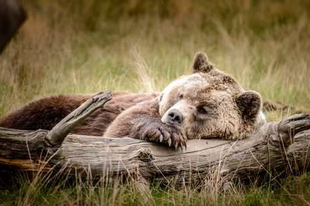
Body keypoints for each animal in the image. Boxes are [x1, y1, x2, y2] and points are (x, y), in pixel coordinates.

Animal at [0, 52, 266, 150]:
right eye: (181, 94)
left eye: (204, 109)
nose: (174, 116)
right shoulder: (139, 106)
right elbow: (121, 125)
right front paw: (165, 133)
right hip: (54, 106)